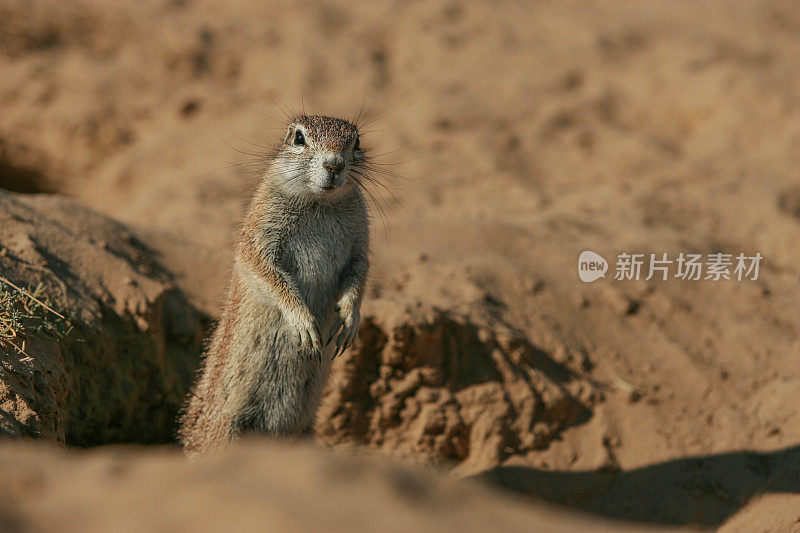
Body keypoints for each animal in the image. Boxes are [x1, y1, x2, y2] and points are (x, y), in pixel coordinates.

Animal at [180, 114, 370, 456]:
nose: (335, 164)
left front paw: (349, 322)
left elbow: (359, 275)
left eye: (356, 141)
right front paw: (305, 326)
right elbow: (268, 275)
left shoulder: (360, 243)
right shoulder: (259, 237)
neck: (320, 203)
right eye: (298, 138)